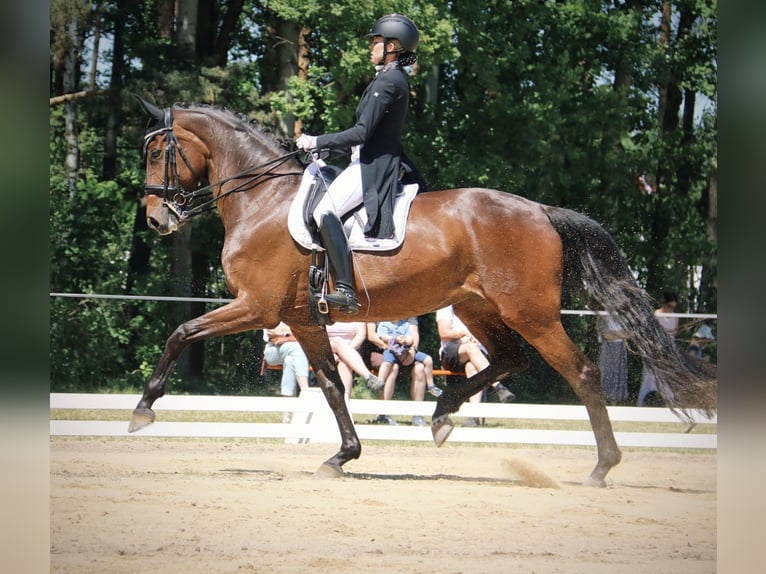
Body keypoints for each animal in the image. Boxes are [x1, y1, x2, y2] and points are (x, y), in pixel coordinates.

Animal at [130, 97, 716, 486]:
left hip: (531, 312)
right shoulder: (301, 319)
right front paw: (343, 455)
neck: (263, 200)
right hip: (477, 307)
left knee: (581, 372)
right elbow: (332, 387)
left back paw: (601, 466)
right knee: (510, 359)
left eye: (159, 151)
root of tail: (541, 211)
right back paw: (443, 415)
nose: (157, 219)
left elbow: (181, 330)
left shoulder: (257, 306)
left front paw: (142, 409)